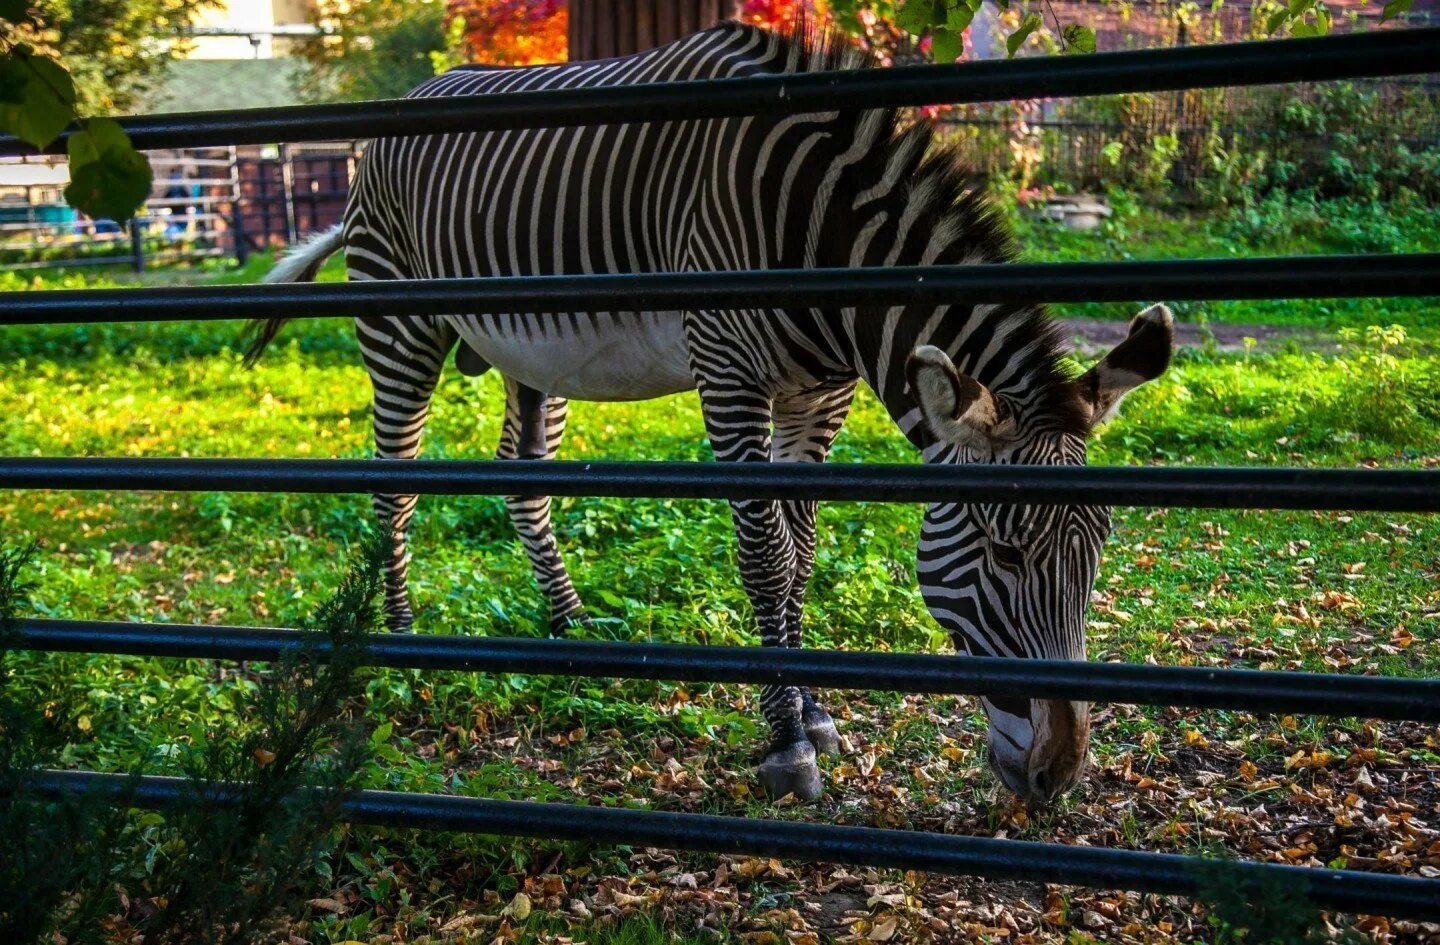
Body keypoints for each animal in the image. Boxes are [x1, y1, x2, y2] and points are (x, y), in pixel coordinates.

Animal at [244, 20, 1169, 806]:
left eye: (1099, 547)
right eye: (1006, 554)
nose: (1059, 773)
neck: (820, 240)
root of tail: (413, 97)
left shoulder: (818, 393)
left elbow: (801, 552)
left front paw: (816, 710)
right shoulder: (728, 374)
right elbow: (764, 556)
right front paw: (787, 741)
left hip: (530, 353)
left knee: (522, 477)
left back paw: (568, 624)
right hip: (398, 319)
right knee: (392, 482)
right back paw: (400, 644)